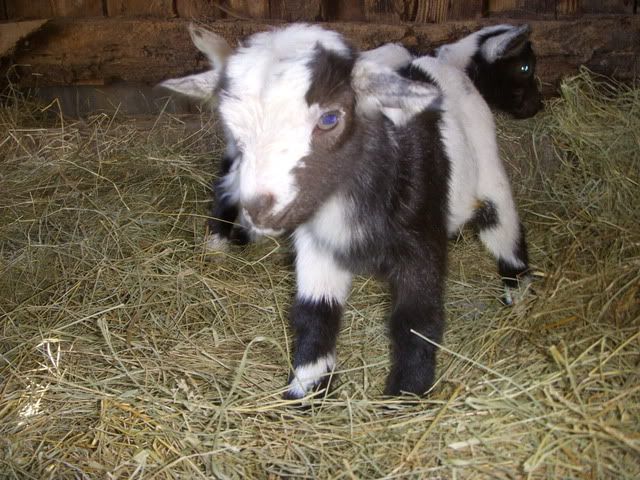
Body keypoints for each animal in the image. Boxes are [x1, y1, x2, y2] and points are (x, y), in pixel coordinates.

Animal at [161, 24, 529, 398]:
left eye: (329, 118)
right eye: (233, 127)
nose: (259, 211)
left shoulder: (422, 242)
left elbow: (416, 319)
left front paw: (405, 395)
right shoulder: (318, 246)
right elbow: (316, 312)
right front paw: (304, 391)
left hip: (488, 170)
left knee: (502, 225)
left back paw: (517, 289)